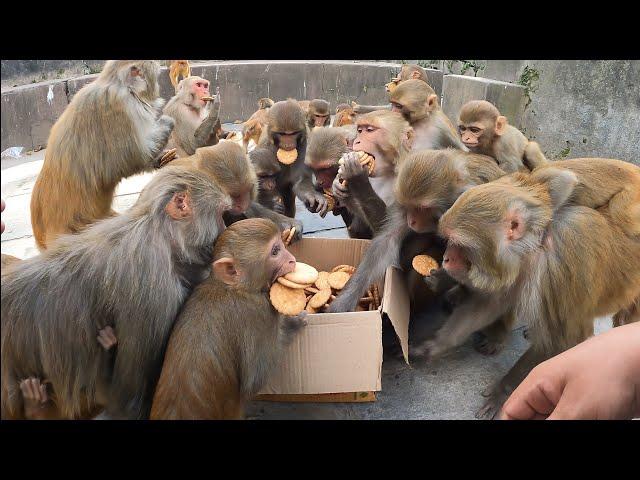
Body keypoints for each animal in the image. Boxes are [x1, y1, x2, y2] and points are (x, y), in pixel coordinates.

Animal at [30, 60, 175, 251]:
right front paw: (167, 122)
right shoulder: (118, 108)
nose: (158, 87)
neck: (117, 84)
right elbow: (132, 157)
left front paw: (161, 158)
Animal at [152, 218, 308, 420]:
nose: (292, 259)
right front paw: (292, 323)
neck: (232, 288)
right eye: (275, 251)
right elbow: (254, 380)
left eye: (281, 246)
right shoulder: (259, 312)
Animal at [436, 167, 640, 418]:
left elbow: (562, 344)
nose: (445, 258)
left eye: (458, 244)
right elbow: (492, 302)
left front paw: (503, 391)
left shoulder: (559, 270)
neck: (535, 248)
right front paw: (437, 344)